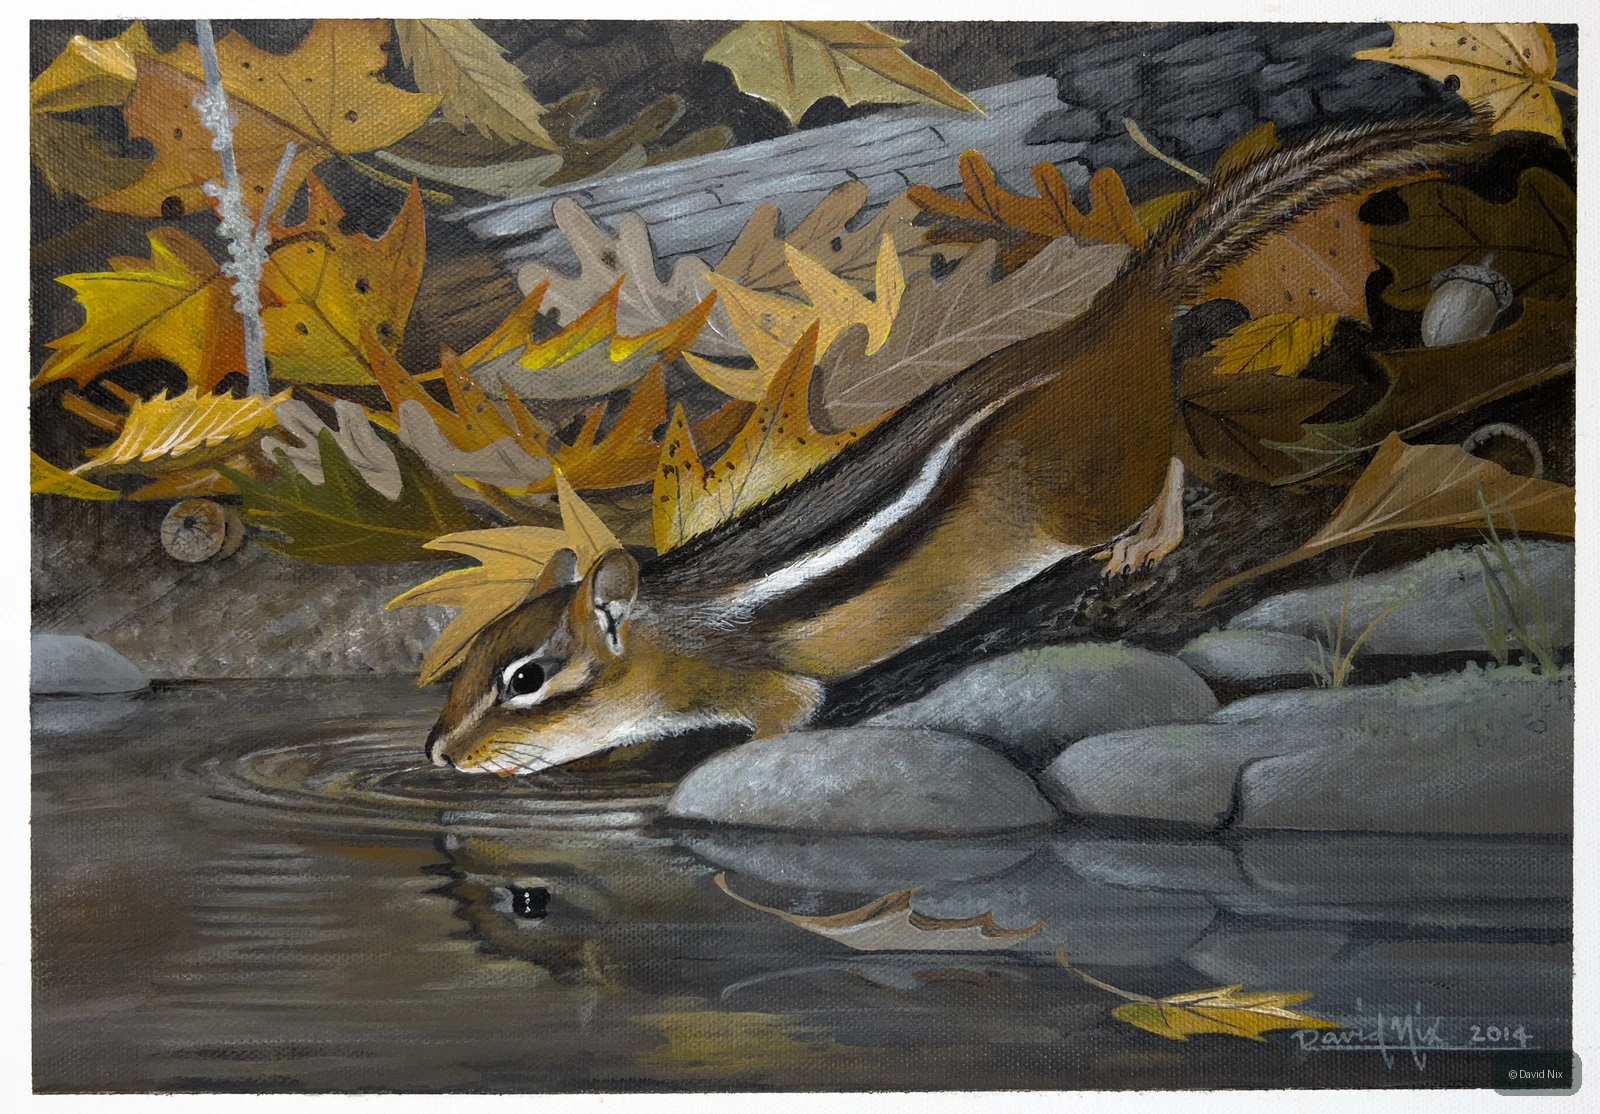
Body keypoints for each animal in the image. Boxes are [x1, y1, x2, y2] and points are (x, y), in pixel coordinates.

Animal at [425, 113, 1484, 776]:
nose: (434, 752)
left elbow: (779, 727)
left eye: (527, 680)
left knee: (1173, 463)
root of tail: (1112, 318)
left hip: (1087, 487)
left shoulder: (764, 687)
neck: (665, 627)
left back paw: (1152, 537)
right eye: (469, 659)